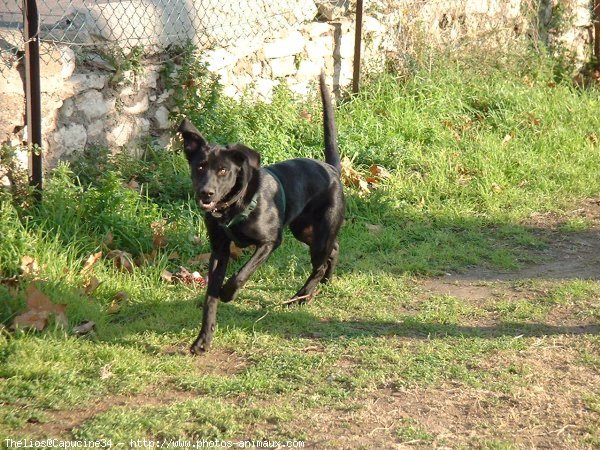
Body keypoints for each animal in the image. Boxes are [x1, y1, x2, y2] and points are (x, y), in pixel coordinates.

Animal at [178, 74, 344, 356]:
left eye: (223, 170)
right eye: (200, 167)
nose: (205, 194)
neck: (233, 207)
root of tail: (331, 168)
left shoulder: (269, 242)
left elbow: (241, 274)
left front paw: (228, 293)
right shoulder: (219, 250)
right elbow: (210, 297)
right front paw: (203, 339)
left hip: (318, 235)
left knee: (321, 261)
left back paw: (301, 295)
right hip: (304, 230)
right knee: (334, 249)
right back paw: (324, 283)